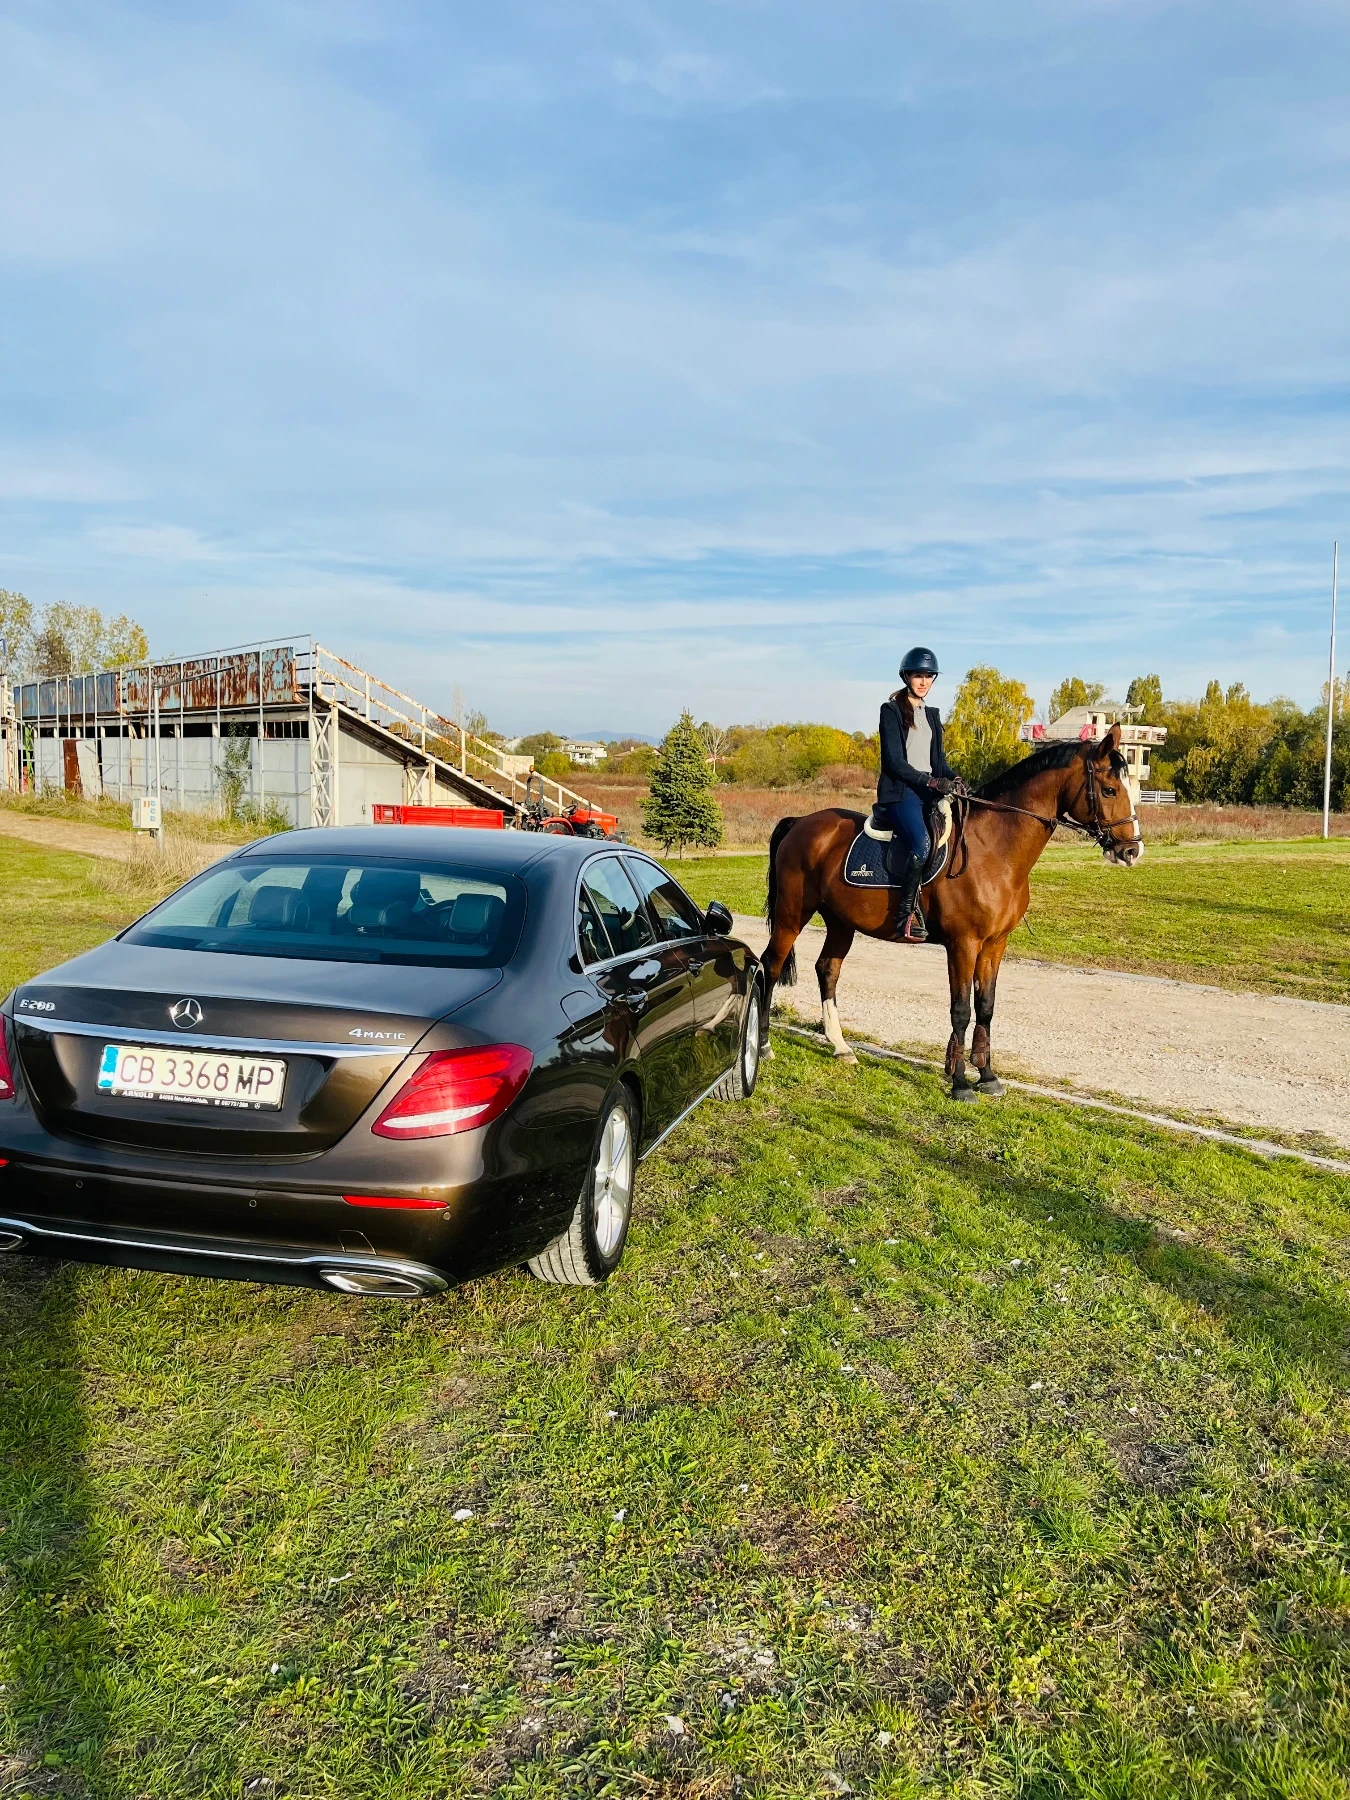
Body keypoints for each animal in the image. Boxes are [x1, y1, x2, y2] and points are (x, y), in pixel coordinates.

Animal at [763, 727, 1144, 1094]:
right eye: (1110, 790)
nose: (1131, 851)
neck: (994, 849)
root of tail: (801, 822)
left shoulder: (995, 945)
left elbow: (986, 1006)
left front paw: (987, 1076)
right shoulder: (964, 944)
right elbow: (961, 1009)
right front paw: (960, 1082)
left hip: (841, 922)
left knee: (828, 970)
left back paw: (841, 1047)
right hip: (792, 914)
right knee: (772, 965)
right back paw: (764, 1045)